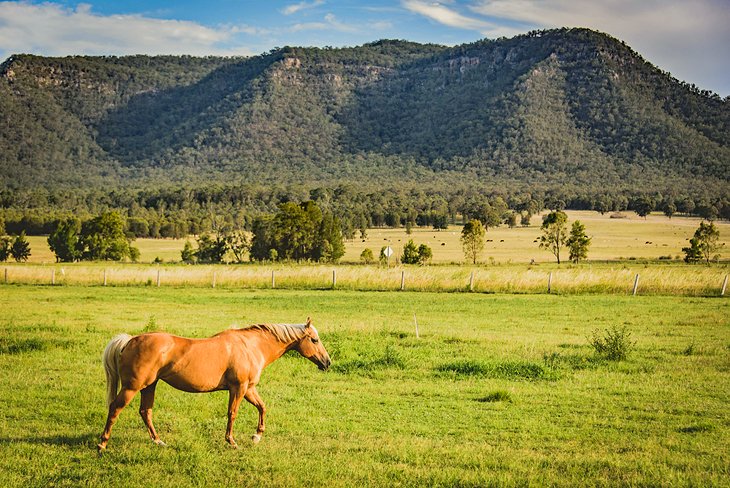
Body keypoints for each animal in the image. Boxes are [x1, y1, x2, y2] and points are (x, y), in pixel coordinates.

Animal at [95, 316, 328, 450]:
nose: (327, 362)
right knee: (115, 409)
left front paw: (256, 436)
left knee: (146, 412)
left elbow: (262, 407)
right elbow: (232, 413)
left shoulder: (249, 389)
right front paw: (231, 441)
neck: (250, 346)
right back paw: (102, 444)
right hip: (132, 388)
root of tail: (130, 340)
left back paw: (158, 441)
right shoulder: (238, 388)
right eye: (314, 340)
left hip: (149, 386)